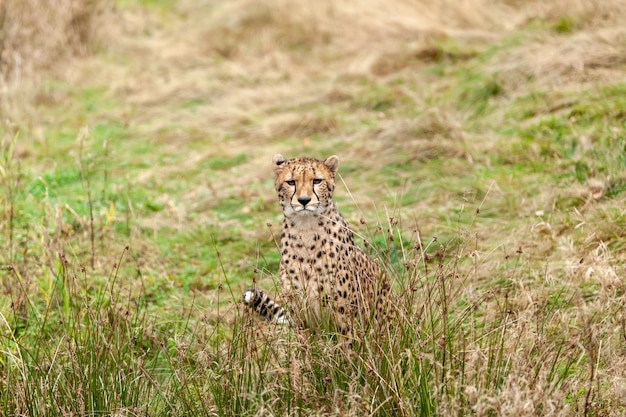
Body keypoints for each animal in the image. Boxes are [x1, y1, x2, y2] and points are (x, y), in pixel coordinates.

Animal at [241, 154, 388, 334]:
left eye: (317, 181)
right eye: (291, 182)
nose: (304, 200)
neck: (306, 230)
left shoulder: (343, 314)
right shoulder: (300, 314)